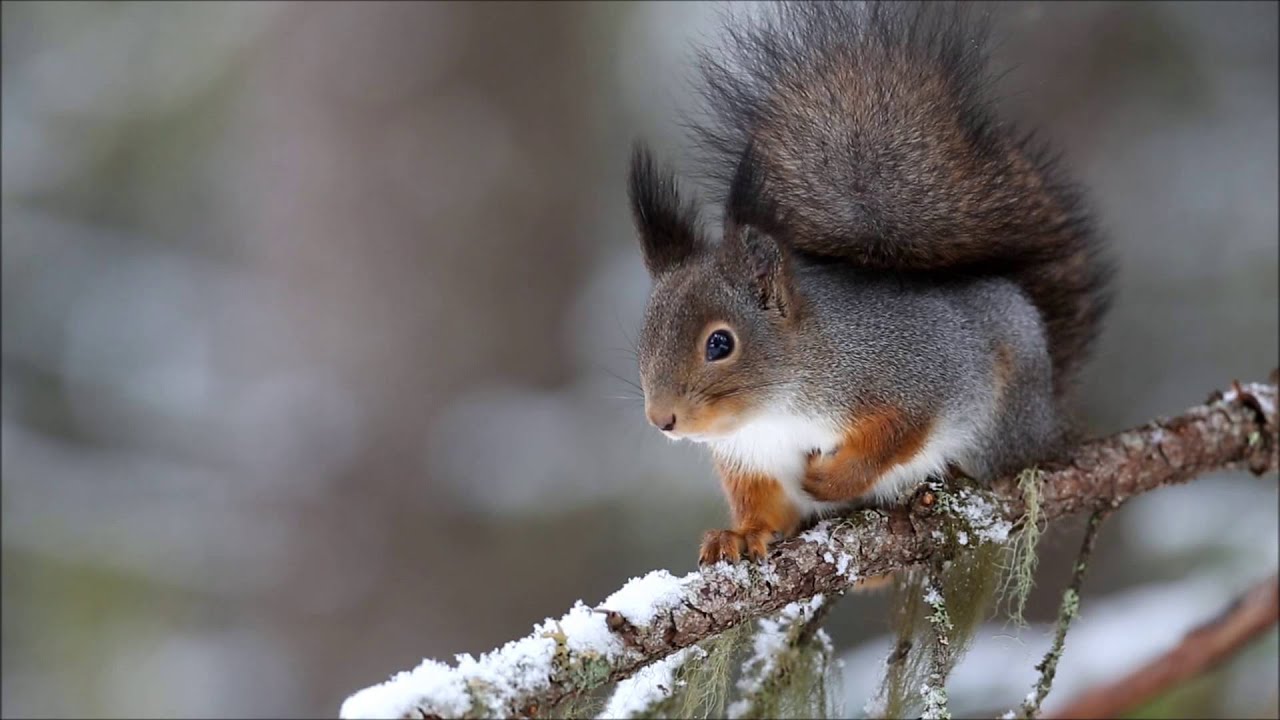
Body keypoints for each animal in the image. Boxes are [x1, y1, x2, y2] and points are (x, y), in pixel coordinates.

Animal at [626, 1, 1112, 565]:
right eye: (644, 340)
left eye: (720, 344)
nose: (661, 419)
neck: (775, 406)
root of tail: (1053, 413)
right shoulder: (750, 459)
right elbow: (762, 505)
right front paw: (740, 533)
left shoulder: (919, 372)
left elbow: (898, 434)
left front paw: (831, 480)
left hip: (1008, 415)